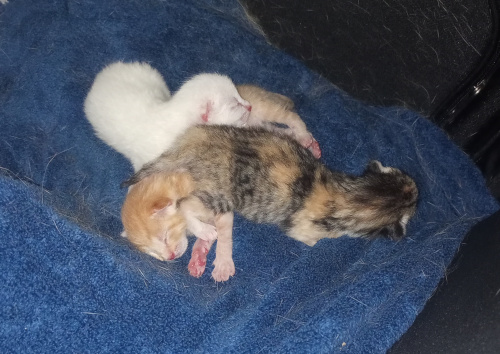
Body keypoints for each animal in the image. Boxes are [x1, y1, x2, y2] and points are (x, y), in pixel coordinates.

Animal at [124, 126, 418, 280]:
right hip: (220, 193)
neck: (354, 194)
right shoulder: (304, 231)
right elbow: (318, 242)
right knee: (185, 204)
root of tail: (195, 140)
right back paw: (205, 231)